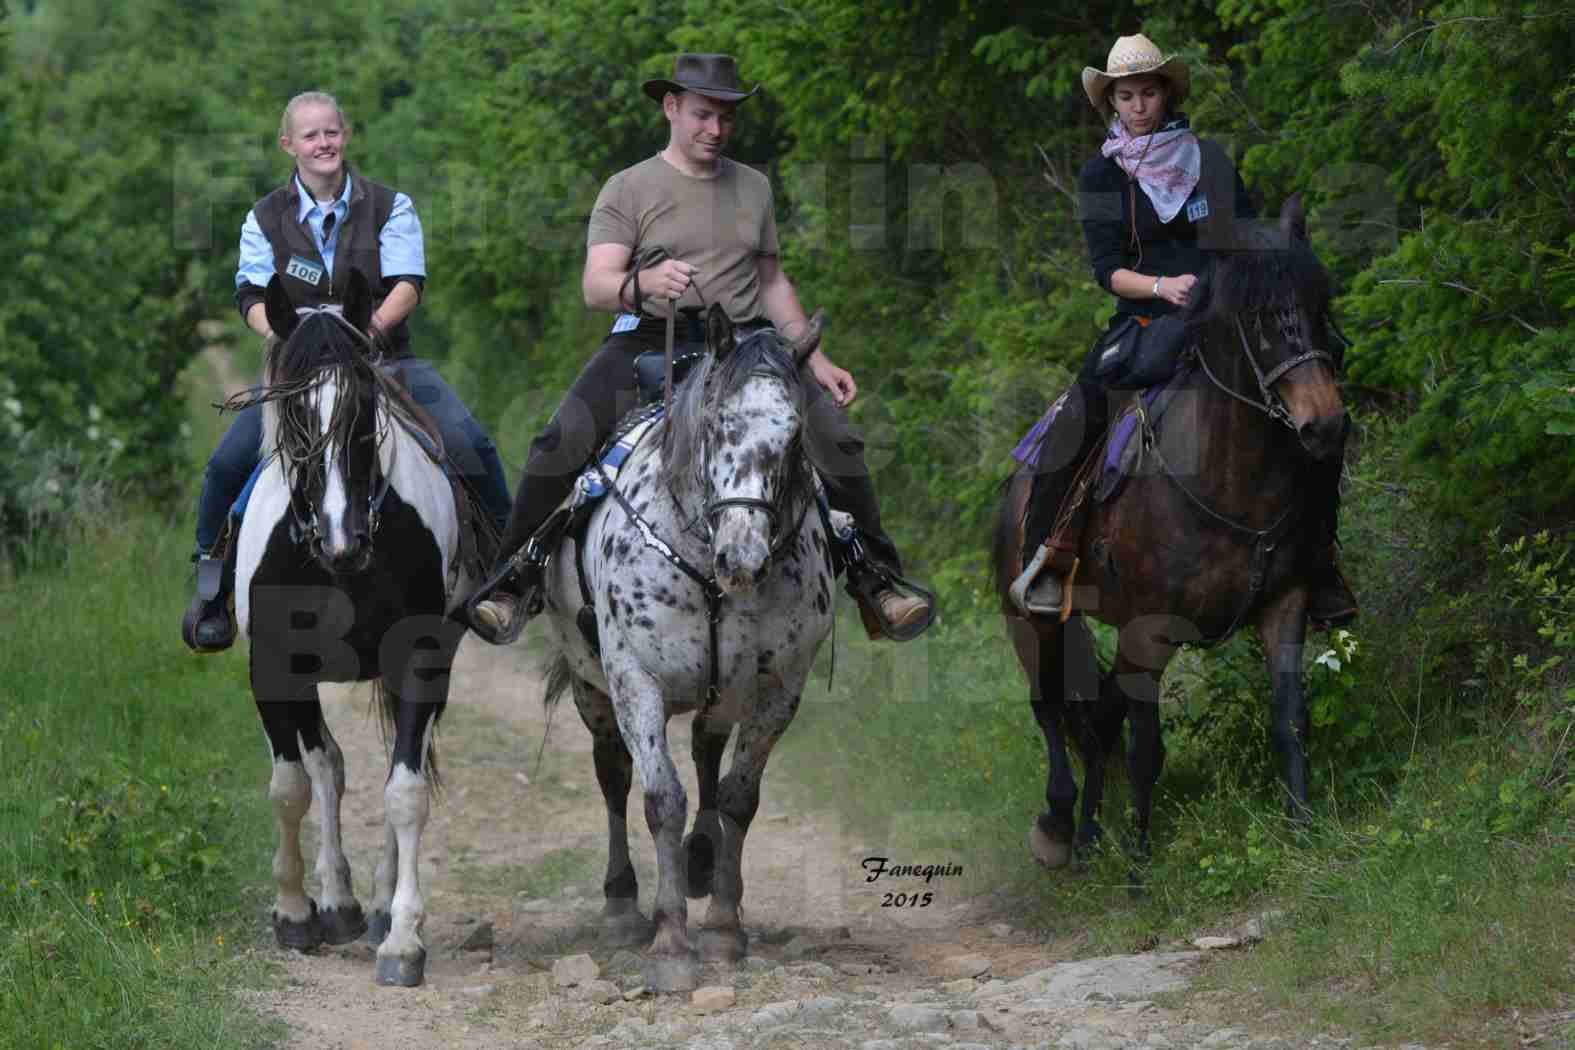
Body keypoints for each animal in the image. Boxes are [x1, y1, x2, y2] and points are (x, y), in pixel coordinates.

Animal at [229, 270, 469, 988]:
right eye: (295, 412)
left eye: (365, 406)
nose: (343, 542)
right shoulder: (274, 666)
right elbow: (291, 787)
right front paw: (295, 911)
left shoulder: (419, 657)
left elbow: (404, 792)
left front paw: (403, 940)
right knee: (326, 767)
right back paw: (337, 901)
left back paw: (381, 906)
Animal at [541, 305, 837, 994]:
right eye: (718, 424)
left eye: (793, 436)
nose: (743, 557)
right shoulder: (634, 680)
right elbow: (661, 799)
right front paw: (671, 941)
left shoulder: (779, 689)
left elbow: (736, 797)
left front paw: (724, 927)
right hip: (593, 690)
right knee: (613, 775)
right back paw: (622, 904)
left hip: (720, 694)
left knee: (706, 750)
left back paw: (702, 861)